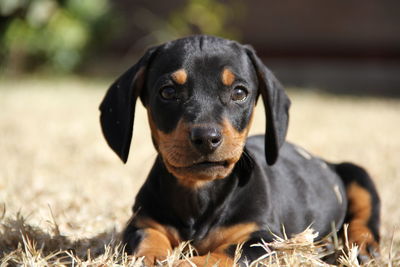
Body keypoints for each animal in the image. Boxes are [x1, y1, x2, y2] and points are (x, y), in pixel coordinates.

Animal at [98, 35, 380, 266]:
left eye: (239, 92)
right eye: (167, 92)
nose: (206, 138)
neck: (200, 192)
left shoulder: (260, 238)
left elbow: (220, 256)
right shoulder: (142, 224)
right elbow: (147, 240)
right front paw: (150, 257)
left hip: (357, 174)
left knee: (365, 218)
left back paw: (362, 247)